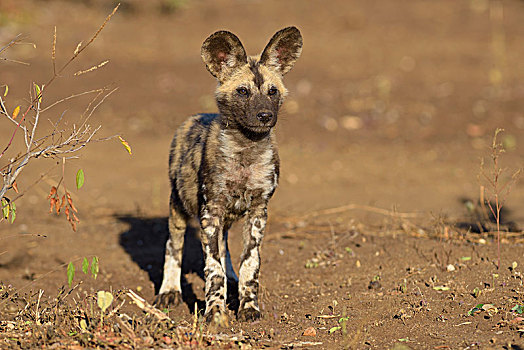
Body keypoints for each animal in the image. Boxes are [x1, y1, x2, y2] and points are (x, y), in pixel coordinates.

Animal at [156, 27, 302, 322]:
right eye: (243, 91)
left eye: (272, 91)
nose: (265, 115)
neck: (246, 150)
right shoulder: (210, 211)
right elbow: (213, 270)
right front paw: (215, 312)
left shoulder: (258, 211)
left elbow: (250, 264)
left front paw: (248, 306)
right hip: (179, 206)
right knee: (173, 246)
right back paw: (170, 290)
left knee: (224, 249)